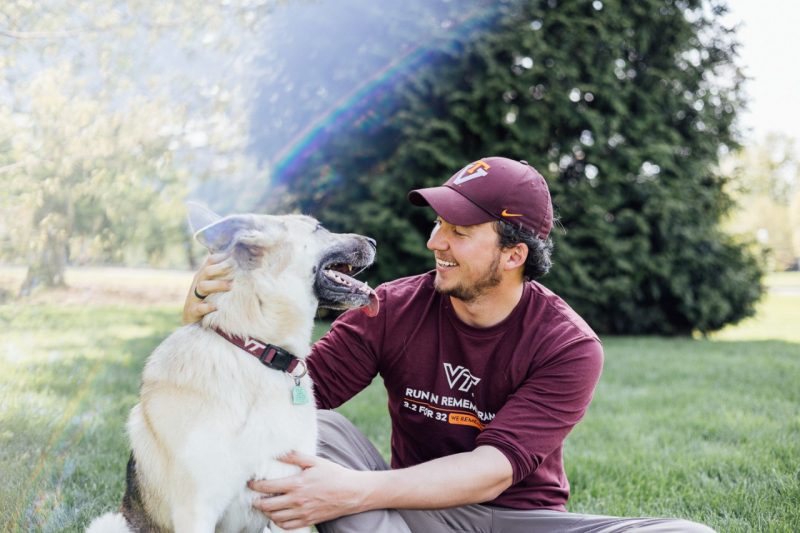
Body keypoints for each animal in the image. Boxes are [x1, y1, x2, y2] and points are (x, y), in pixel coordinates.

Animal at [86, 205, 380, 532]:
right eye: (318, 227)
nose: (374, 241)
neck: (257, 351)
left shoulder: (291, 502)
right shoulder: (196, 511)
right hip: (110, 523)